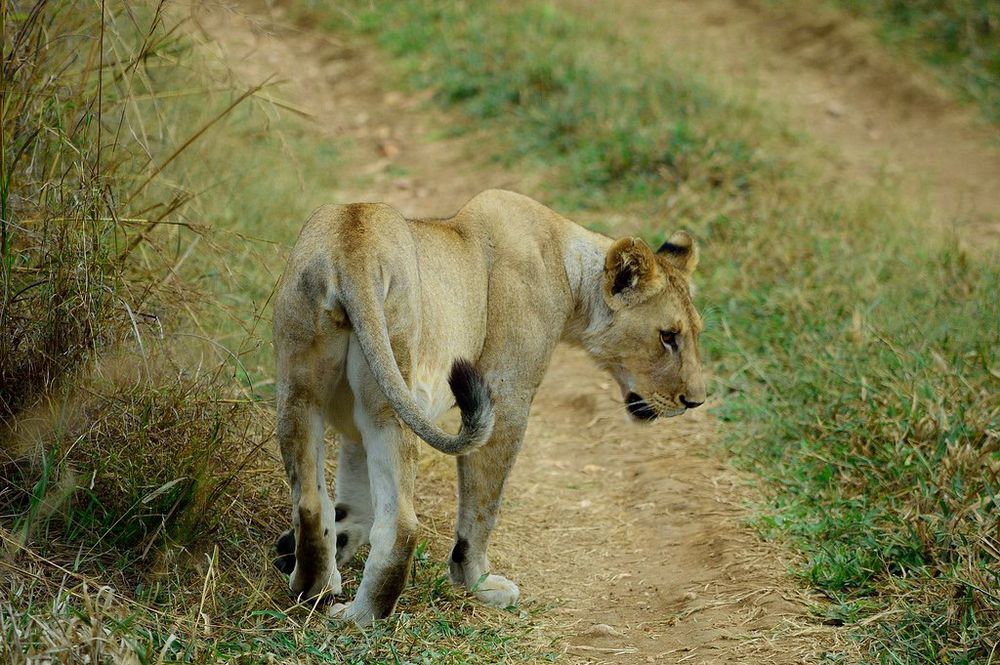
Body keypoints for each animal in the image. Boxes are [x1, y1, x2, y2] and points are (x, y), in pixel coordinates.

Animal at [271, 189, 706, 625]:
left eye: (694, 334)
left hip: (301, 389)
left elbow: (354, 499)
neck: (570, 270)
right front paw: (477, 582)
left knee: (311, 502)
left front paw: (313, 553)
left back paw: (312, 588)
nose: (696, 400)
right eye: (668, 337)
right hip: (393, 393)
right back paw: (362, 619)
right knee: (401, 523)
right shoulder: (506, 398)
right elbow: (483, 505)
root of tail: (352, 247)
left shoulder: (355, 423)